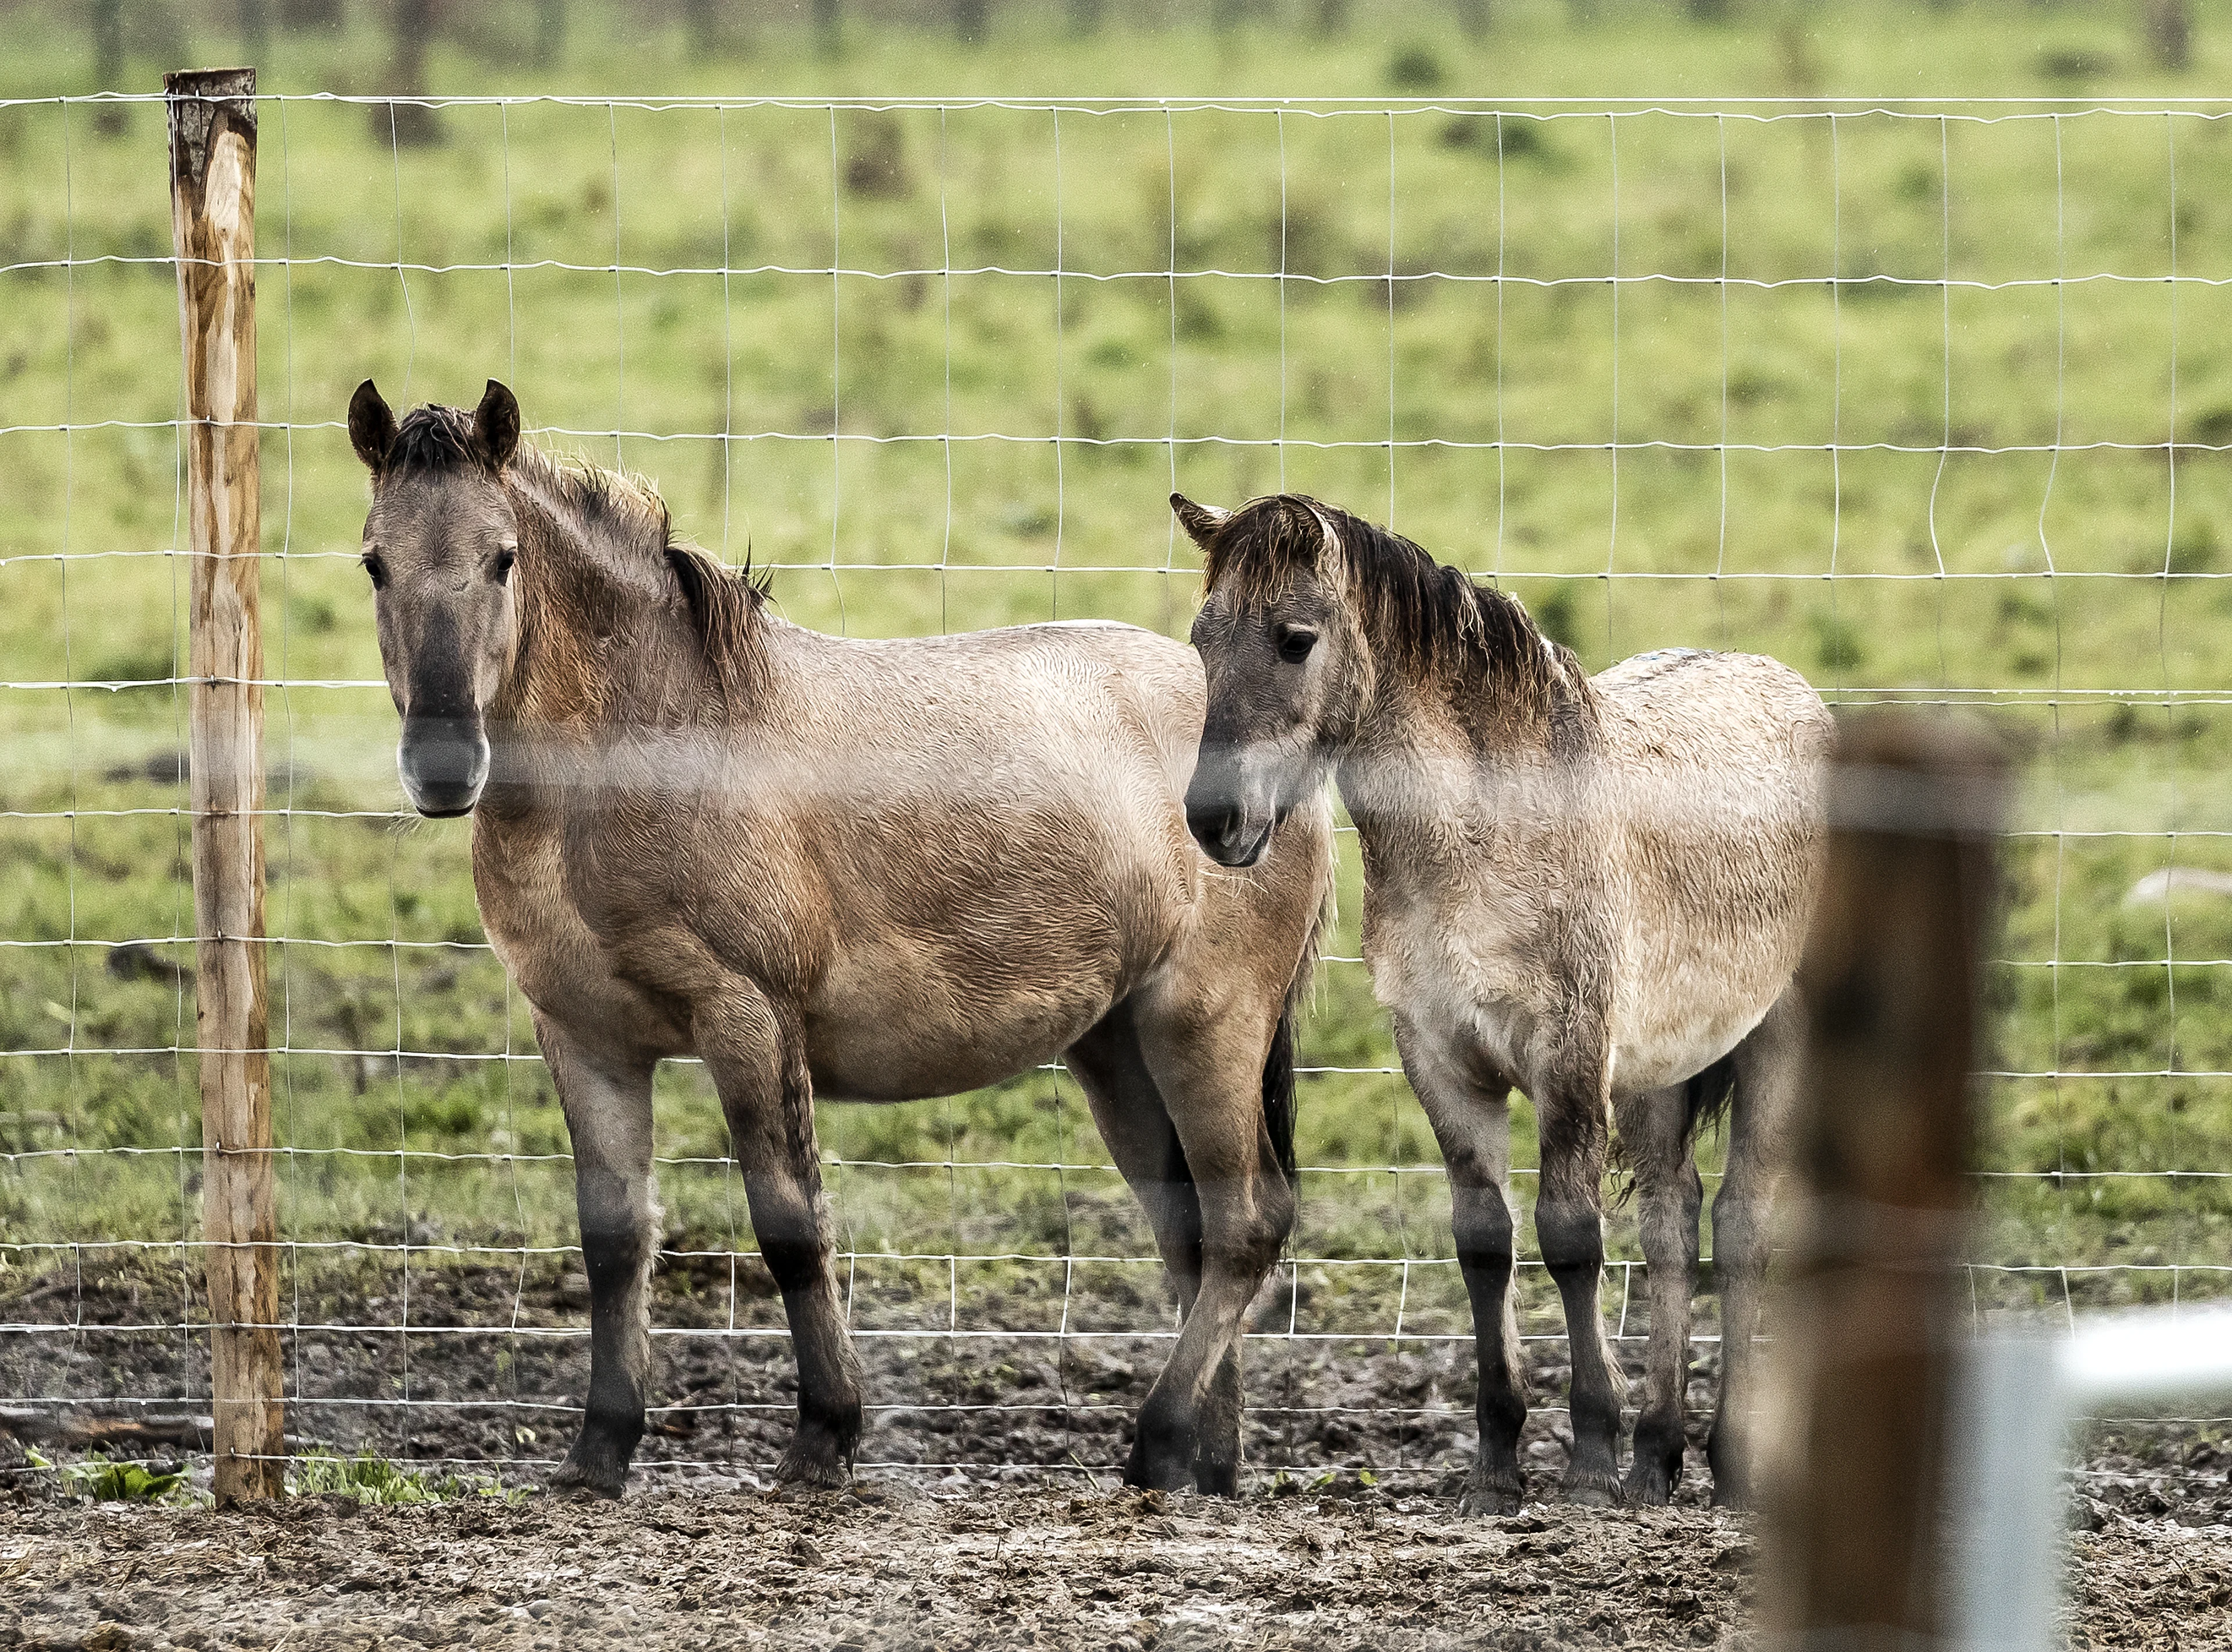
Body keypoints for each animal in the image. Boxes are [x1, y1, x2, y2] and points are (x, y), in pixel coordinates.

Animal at [344, 378, 1333, 1498]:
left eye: (502, 557)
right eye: (375, 560)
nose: (443, 764)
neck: (650, 749)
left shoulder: (748, 1018)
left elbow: (790, 1226)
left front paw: (825, 1434)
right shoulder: (585, 1036)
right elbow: (615, 1241)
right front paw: (600, 1448)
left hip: (1207, 1025)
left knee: (1247, 1223)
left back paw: (1159, 1439)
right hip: (1119, 1045)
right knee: (1191, 1232)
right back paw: (1205, 1462)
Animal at [1171, 490, 1829, 1511]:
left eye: (1294, 639)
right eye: (1203, 638)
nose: (1216, 821)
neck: (1486, 837)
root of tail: (1799, 690)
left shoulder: (1570, 1055)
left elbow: (1570, 1237)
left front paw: (1590, 1455)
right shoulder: (1443, 1059)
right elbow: (1485, 1242)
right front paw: (1497, 1463)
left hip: (1772, 1040)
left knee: (1740, 1225)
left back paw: (1724, 1463)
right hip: (1658, 1069)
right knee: (1672, 1221)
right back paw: (1657, 1456)